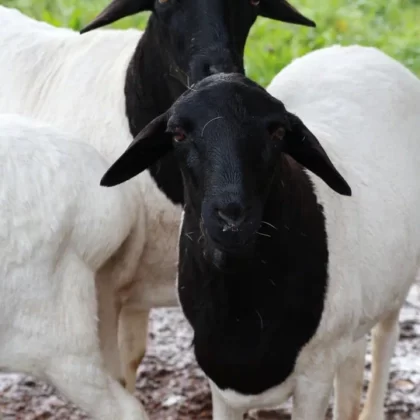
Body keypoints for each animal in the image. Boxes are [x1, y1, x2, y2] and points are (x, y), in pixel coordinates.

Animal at [97, 44, 420, 418]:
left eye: (277, 132)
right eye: (178, 133)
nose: (232, 216)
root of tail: (358, 50)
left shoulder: (315, 376)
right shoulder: (218, 378)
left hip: (396, 287)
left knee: (385, 341)